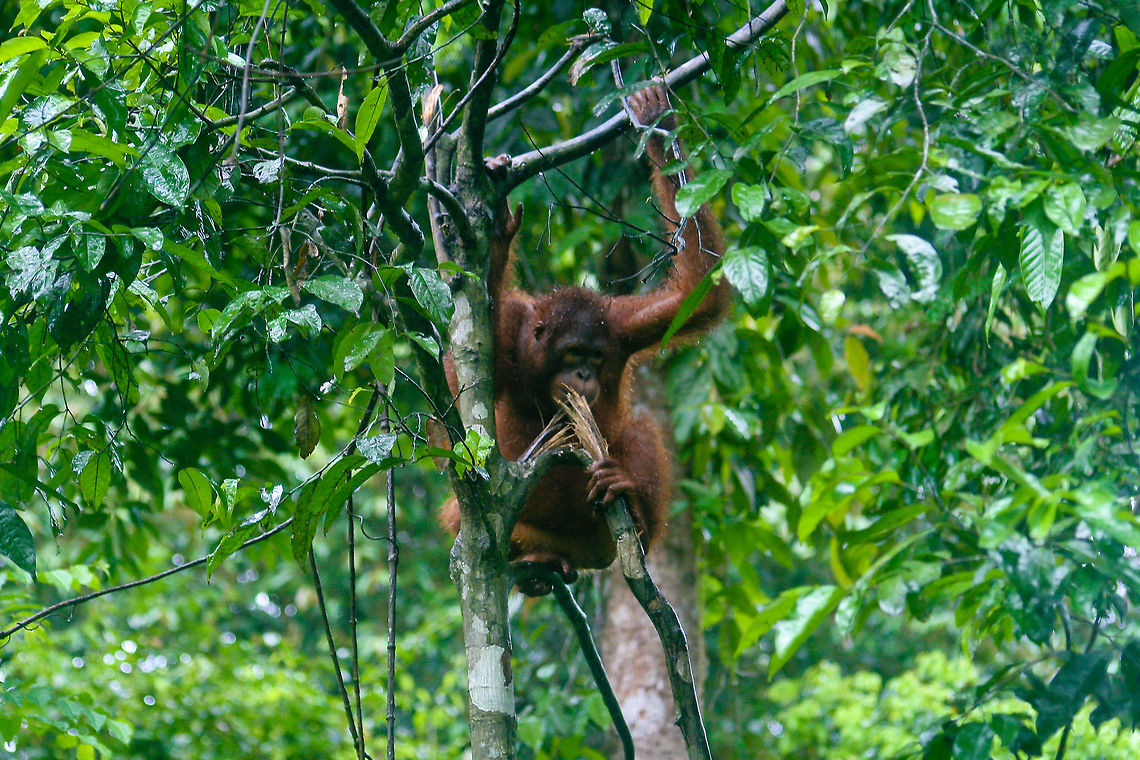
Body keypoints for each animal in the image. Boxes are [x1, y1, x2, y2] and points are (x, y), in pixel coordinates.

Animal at [440, 85, 729, 595]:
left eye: (595, 359)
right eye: (573, 354)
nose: (582, 374)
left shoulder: (623, 325)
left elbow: (700, 292)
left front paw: (660, 125)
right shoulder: (514, 330)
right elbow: (465, 367)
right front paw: (496, 232)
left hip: (600, 543)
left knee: (639, 429)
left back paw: (630, 503)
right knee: (462, 517)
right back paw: (539, 562)